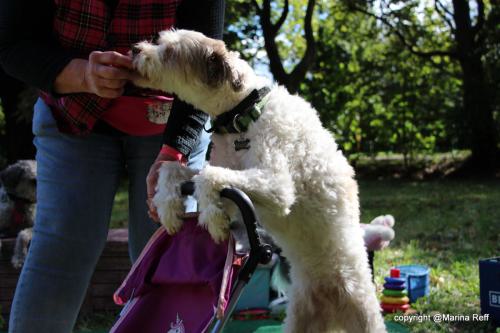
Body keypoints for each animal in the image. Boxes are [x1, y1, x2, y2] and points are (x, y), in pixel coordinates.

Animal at [133, 29, 386, 332]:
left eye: (171, 52)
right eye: (160, 41)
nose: (135, 49)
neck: (244, 112)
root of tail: (332, 298)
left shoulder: (277, 187)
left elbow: (208, 177)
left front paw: (213, 219)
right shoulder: (233, 180)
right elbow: (172, 169)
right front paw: (167, 206)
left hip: (365, 314)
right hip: (299, 317)